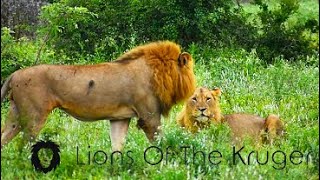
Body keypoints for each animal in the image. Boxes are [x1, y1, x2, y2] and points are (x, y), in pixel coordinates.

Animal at [0, 40, 198, 150]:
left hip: (15, 115)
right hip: (34, 116)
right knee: (24, 146)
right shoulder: (149, 116)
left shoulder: (120, 118)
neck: (157, 72)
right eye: (190, 69)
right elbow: (160, 142)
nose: (195, 87)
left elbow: (117, 145)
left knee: (5, 139)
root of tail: (15, 74)